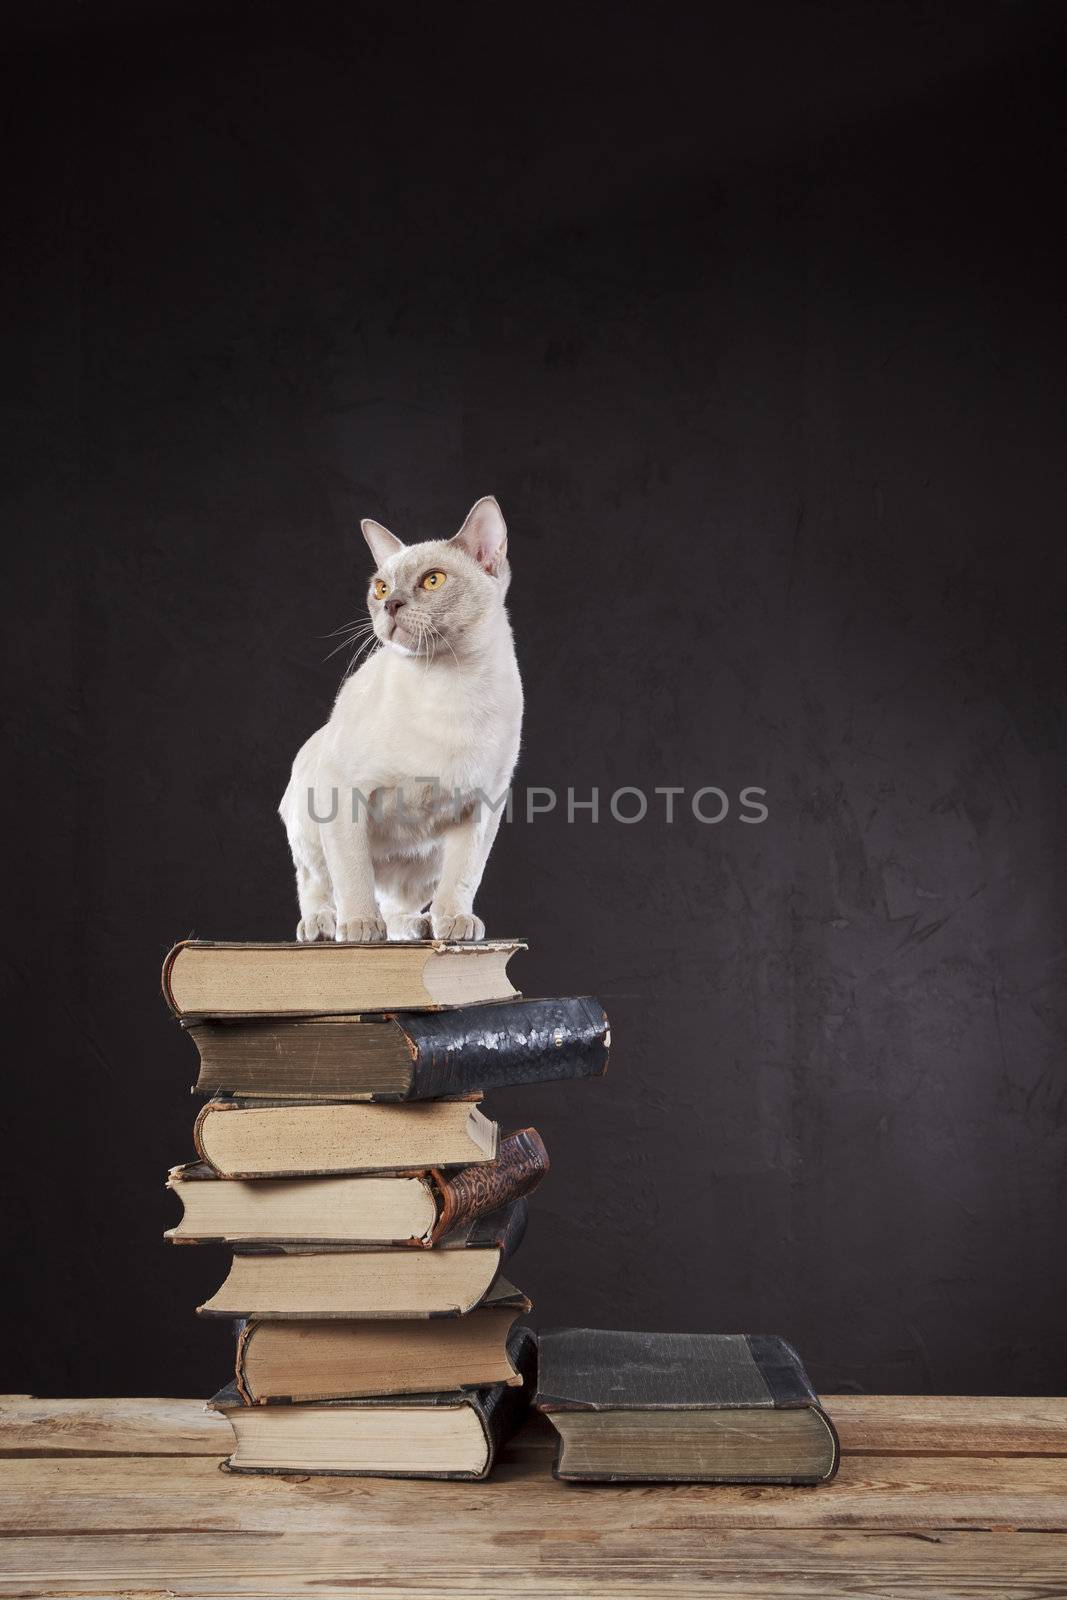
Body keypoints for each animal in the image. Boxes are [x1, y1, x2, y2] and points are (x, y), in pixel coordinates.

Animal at [279, 499, 521, 940]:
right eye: (380, 588)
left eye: (432, 581)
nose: (391, 604)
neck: (449, 684)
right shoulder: (344, 794)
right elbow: (352, 874)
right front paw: (359, 928)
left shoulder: (482, 807)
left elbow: (464, 876)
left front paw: (455, 922)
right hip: (307, 818)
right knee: (318, 883)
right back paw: (324, 925)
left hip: (427, 860)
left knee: (397, 906)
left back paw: (422, 926)